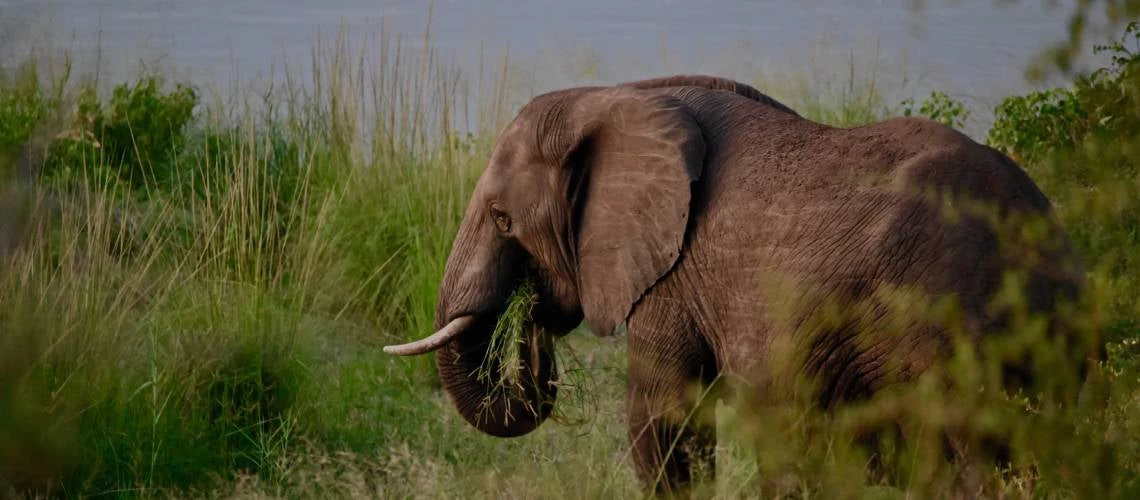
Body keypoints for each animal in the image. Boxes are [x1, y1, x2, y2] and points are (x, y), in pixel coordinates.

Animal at [385, 74, 1103, 496]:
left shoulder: (673, 274)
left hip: (950, 329)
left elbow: (666, 416)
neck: (616, 94)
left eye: (503, 218)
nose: (527, 313)